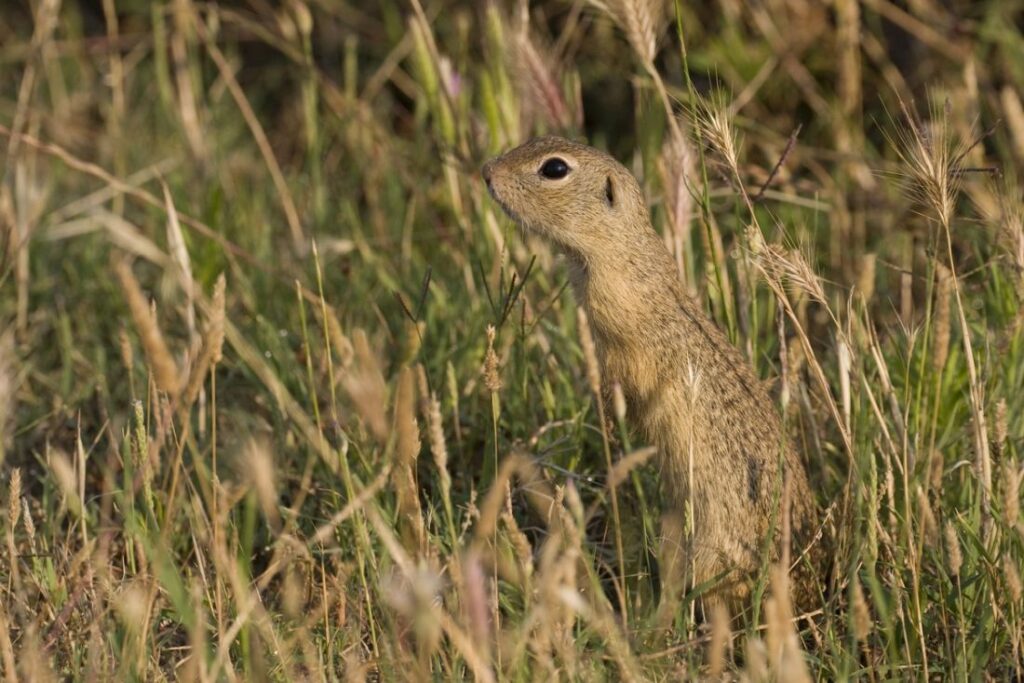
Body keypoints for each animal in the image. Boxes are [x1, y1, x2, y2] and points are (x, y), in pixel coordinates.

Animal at [481, 136, 823, 622]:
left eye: (554, 169)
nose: (487, 173)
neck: (623, 258)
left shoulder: (625, 351)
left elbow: (621, 390)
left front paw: (608, 427)